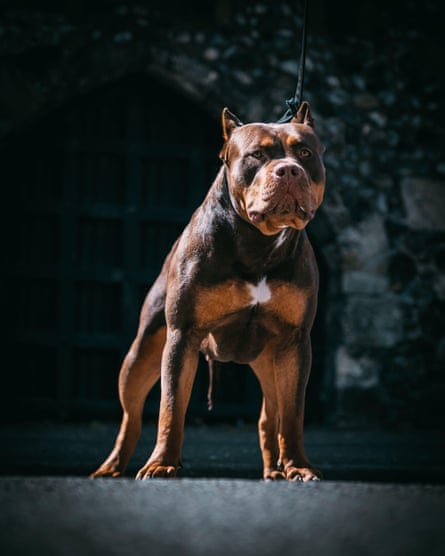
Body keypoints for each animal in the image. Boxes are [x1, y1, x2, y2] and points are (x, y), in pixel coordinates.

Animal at [91, 102, 326, 480]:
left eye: (304, 153)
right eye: (257, 155)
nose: (289, 171)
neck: (258, 243)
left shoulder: (294, 342)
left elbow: (292, 415)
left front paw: (298, 467)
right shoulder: (182, 335)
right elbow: (171, 407)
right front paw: (162, 463)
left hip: (271, 359)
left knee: (270, 414)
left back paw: (274, 470)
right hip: (141, 353)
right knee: (131, 414)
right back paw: (111, 467)